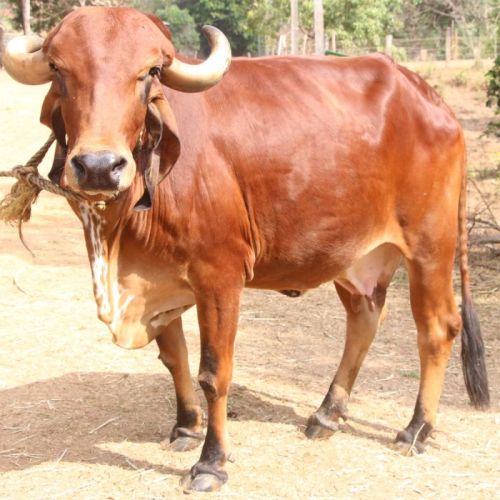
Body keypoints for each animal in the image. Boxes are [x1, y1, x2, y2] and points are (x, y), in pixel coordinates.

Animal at [3, 5, 488, 494]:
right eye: (58, 69)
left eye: (149, 73)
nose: (99, 167)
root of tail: (432, 100)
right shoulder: (159, 279)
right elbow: (174, 357)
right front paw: (185, 427)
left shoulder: (219, 277)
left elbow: (213, 372)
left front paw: (211, 462)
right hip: (355, 258)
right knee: (365, 320)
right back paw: (326, 414)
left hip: (430, 247)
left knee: (438, 328)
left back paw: (416, 429)